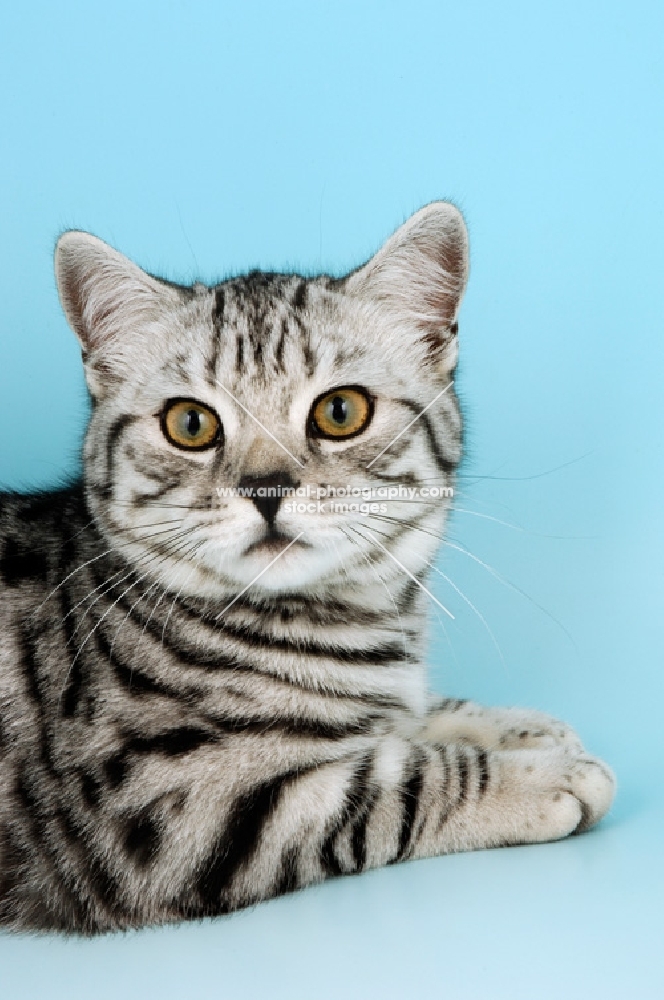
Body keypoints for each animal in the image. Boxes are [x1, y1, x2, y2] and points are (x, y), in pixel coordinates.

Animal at [0, 205, 616, 936]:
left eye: (339, 411)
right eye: (190, 423)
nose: (265, 488)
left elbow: (410, 717)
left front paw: (513, 727)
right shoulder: (182, 808)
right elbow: (402, 778)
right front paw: (542, 773)